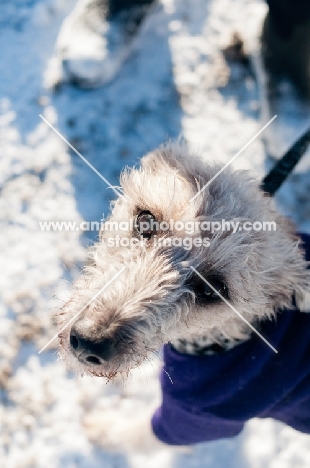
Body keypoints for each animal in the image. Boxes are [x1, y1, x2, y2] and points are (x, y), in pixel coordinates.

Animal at [57, 142, 310, 450]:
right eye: (145, 220)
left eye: (213, 290)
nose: (89, 342)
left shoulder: (200, 418)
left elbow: (139, 432)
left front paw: (102, 428)